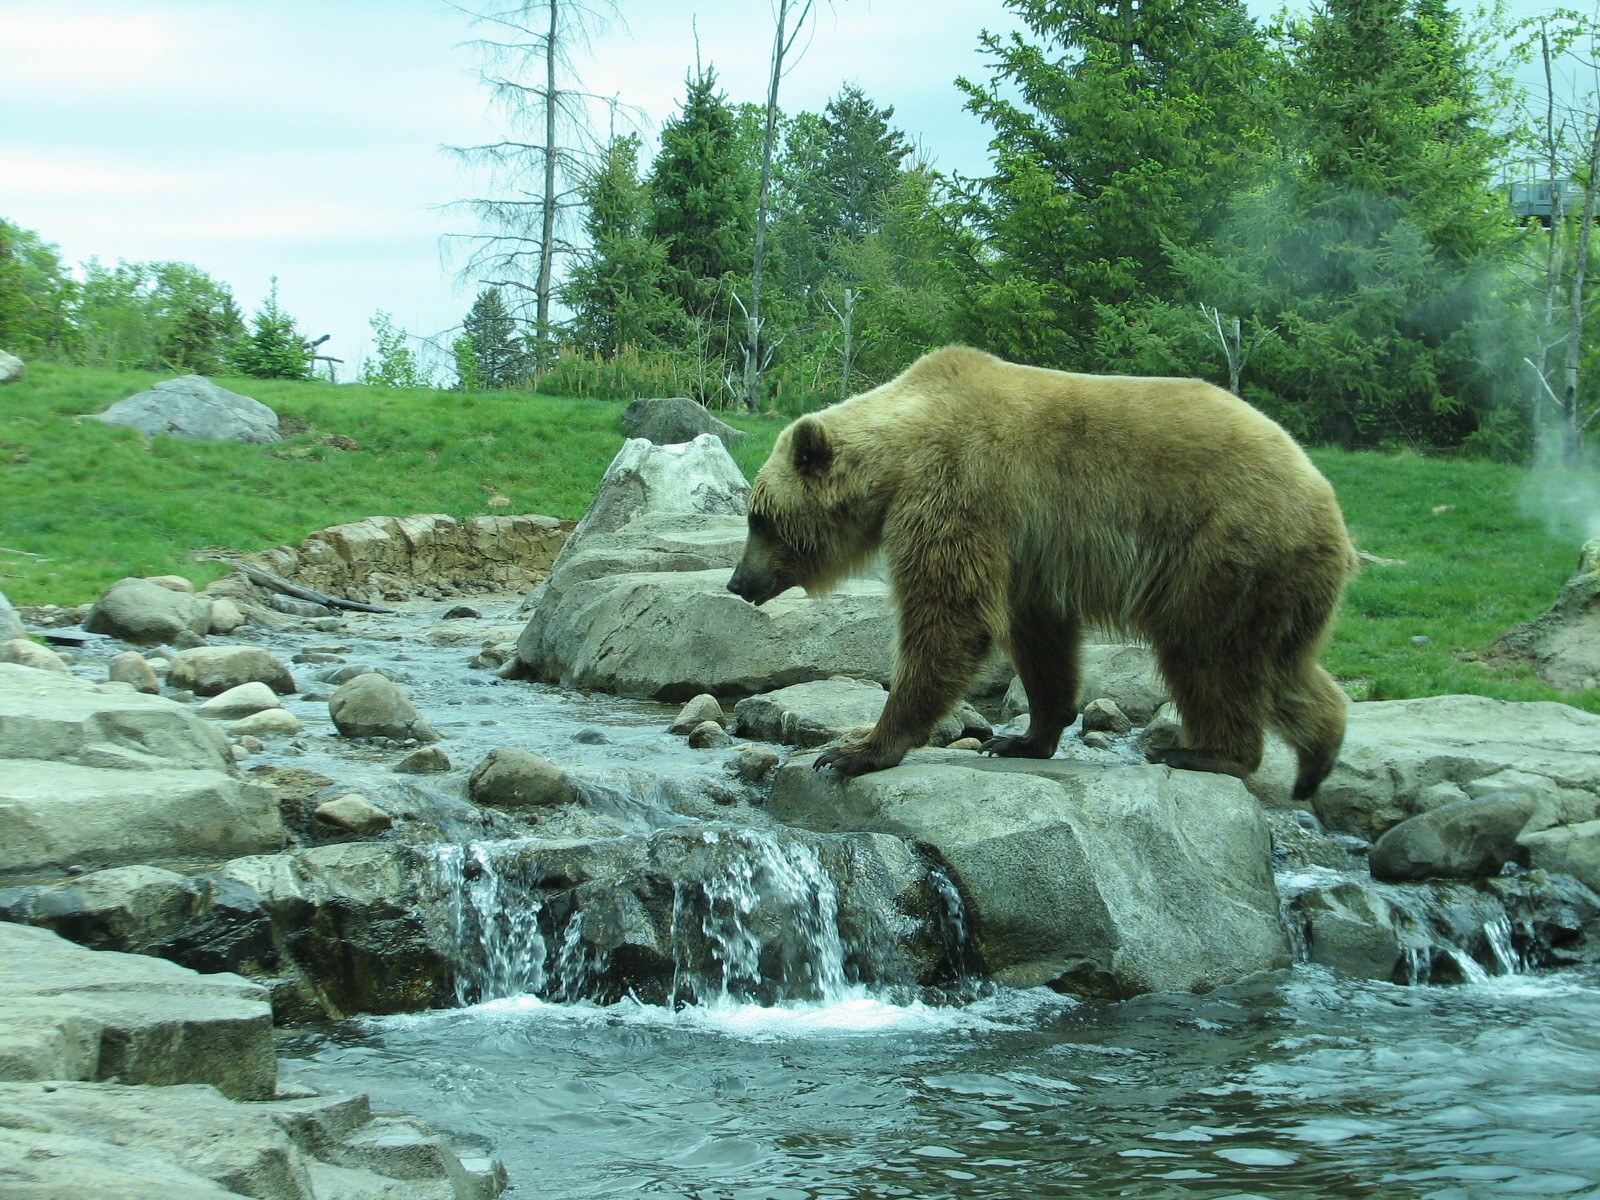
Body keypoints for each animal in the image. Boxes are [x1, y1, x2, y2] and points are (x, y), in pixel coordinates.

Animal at [726, 346, 1358, 801]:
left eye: (760, 518)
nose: (738, 583)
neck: (899, 455)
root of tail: (1327, 498)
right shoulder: (1028, 548)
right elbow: (1039, 636)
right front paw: (1024, 737)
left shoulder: (960, 485)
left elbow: (952, 615)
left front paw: (857, 749)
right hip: (1278, 580)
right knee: (1282, 666)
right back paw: (1317, 758)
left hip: (1225, 548)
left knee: (1208, 654)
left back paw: (1203, 751)